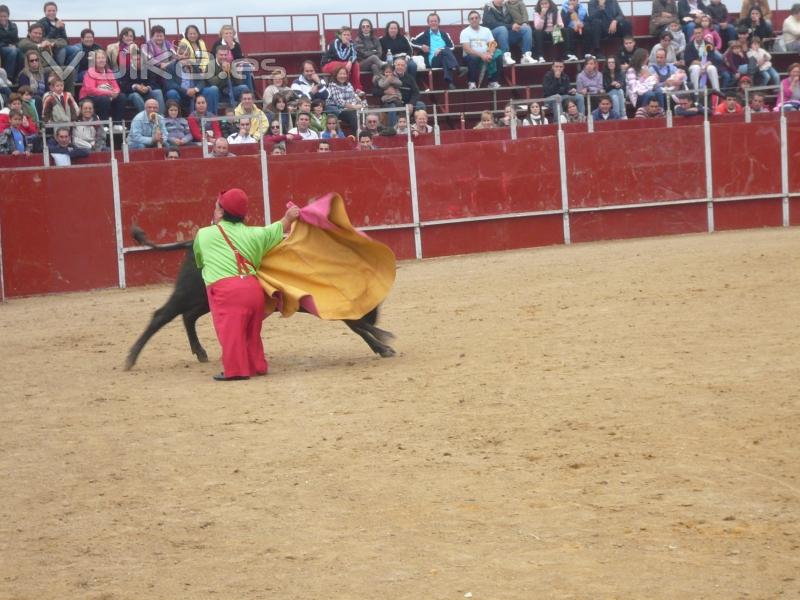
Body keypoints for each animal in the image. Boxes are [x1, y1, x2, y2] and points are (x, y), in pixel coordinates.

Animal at [125, 226, 396, 370]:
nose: (374, 318)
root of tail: (191, 242)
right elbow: (358, 327)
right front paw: (384, 343)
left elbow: (358, 327)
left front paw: (382, 345)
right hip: (188, 291)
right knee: (162, 315)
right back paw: (131, 358)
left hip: (204, 298)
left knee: (188, 316)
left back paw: (200, 352)